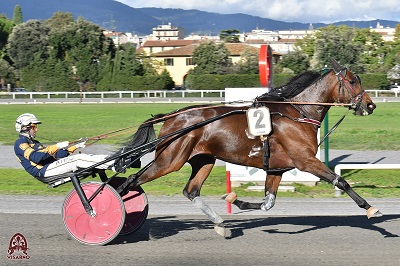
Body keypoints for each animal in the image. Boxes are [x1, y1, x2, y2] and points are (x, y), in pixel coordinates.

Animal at [115, 58, 382, 237]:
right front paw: (370, 209)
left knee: (190, 191)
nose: (370, 105)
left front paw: (236, 201)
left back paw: (220, 224)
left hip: (203, 159)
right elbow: (341, 181)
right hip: (169, 160)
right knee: (130, 182)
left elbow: (268, 202)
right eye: (352, 81)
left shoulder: (276, 169)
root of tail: (173, 116)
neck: (298, 113)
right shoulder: (305, 161)